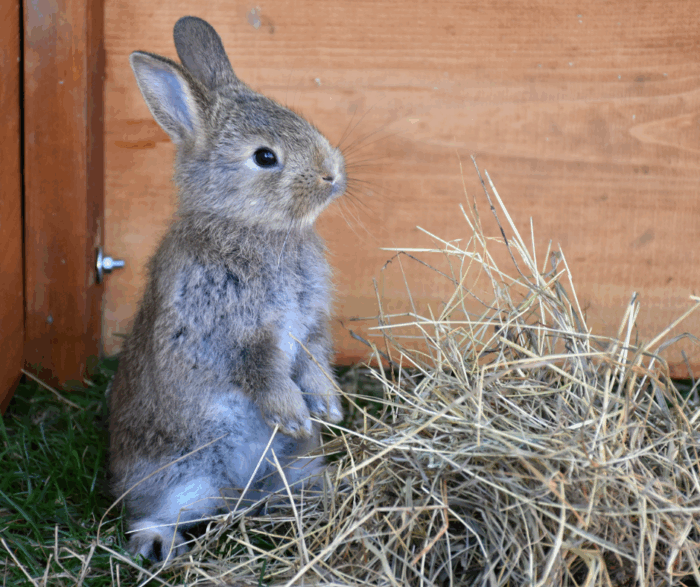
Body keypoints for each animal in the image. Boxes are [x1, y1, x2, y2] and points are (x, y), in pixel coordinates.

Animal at [108, 15, 345, 563]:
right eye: (265, 157)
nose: (332, 174)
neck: (250, 228)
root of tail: (239, 492)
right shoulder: (228, 332)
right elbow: (261, 372)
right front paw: (295, 415)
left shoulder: (311, 326)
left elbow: (314, 359)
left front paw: (327, 407)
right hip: (180, 474)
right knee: (150, 513)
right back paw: (159, 545)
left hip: (290, 467)